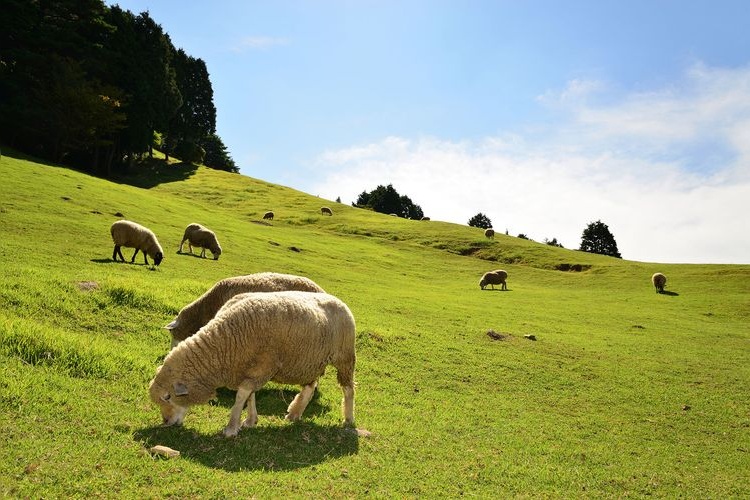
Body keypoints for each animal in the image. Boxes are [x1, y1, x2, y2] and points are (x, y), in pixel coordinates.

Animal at [150, 292, 358, 436]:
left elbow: (242, 395)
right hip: (309, 360)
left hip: (345, 356)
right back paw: (295, 413)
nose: (166, 421)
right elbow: (250, 396)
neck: (224, 343)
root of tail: (338, 300)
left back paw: (348, 419)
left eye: (168, 397)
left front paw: (231, 427)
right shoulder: (249, 369)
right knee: (310, 385)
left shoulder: (263, 366)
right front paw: (250, 420)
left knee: (348, 389)